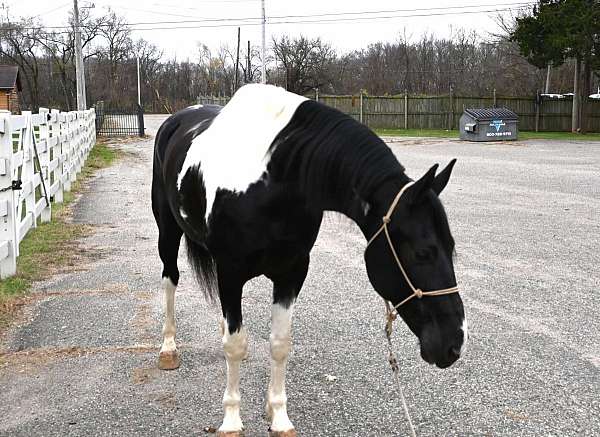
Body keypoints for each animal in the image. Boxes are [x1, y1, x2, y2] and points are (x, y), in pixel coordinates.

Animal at [151, 83, 468, 434]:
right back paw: (168, 349)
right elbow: (234, 344)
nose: (454, 343)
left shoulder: (291, 273)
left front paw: (278, 416)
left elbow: (279, 344)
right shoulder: (230, 272)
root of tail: (176, 120)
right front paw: (232, 420)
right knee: (170, 280)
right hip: (168, 234)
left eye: (451, 247)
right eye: (423, 252)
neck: (273, 181)